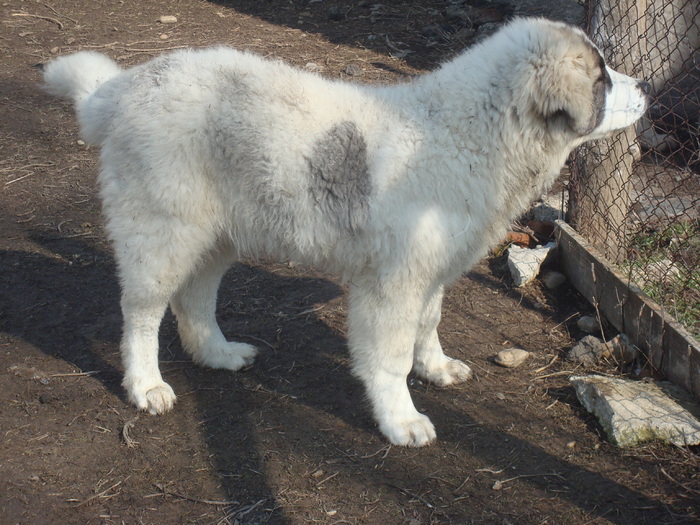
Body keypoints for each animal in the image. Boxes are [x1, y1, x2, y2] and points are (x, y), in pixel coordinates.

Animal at [42, 18, 644, 444]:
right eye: (603, 79)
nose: (645, 88)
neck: (471, 133)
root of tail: (126, 86)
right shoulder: (392, 283)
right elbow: (390, 356)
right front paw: (400, 418)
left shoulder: (430, 271)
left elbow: (429, 324)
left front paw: (435, 368)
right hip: (163, 232)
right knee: (142, 312)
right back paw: (145, 384)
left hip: (218, 235)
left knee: (193, 300)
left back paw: (217, 353)